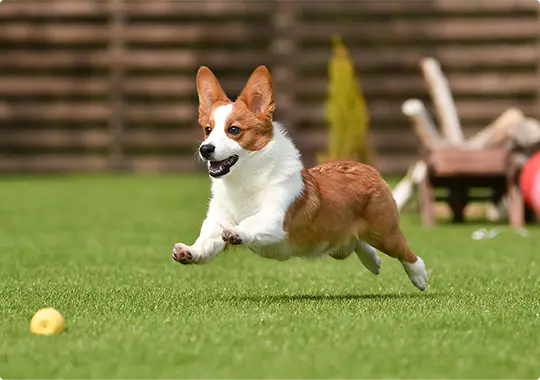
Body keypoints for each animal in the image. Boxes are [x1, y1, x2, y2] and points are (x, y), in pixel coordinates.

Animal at [171, 66, 428, 290]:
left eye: (234, 130)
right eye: (207, 130)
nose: (205, 149)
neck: (244, 182)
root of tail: (367, 168)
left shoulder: (275, 219)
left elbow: (251, 222)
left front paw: (237, 232)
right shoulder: (216, 221)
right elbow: (206, 242)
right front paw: (188, 252)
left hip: (384, 233)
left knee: (405, 252)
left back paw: (419, 276)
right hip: (339, 243)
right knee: (359, 243)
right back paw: (373, 262)